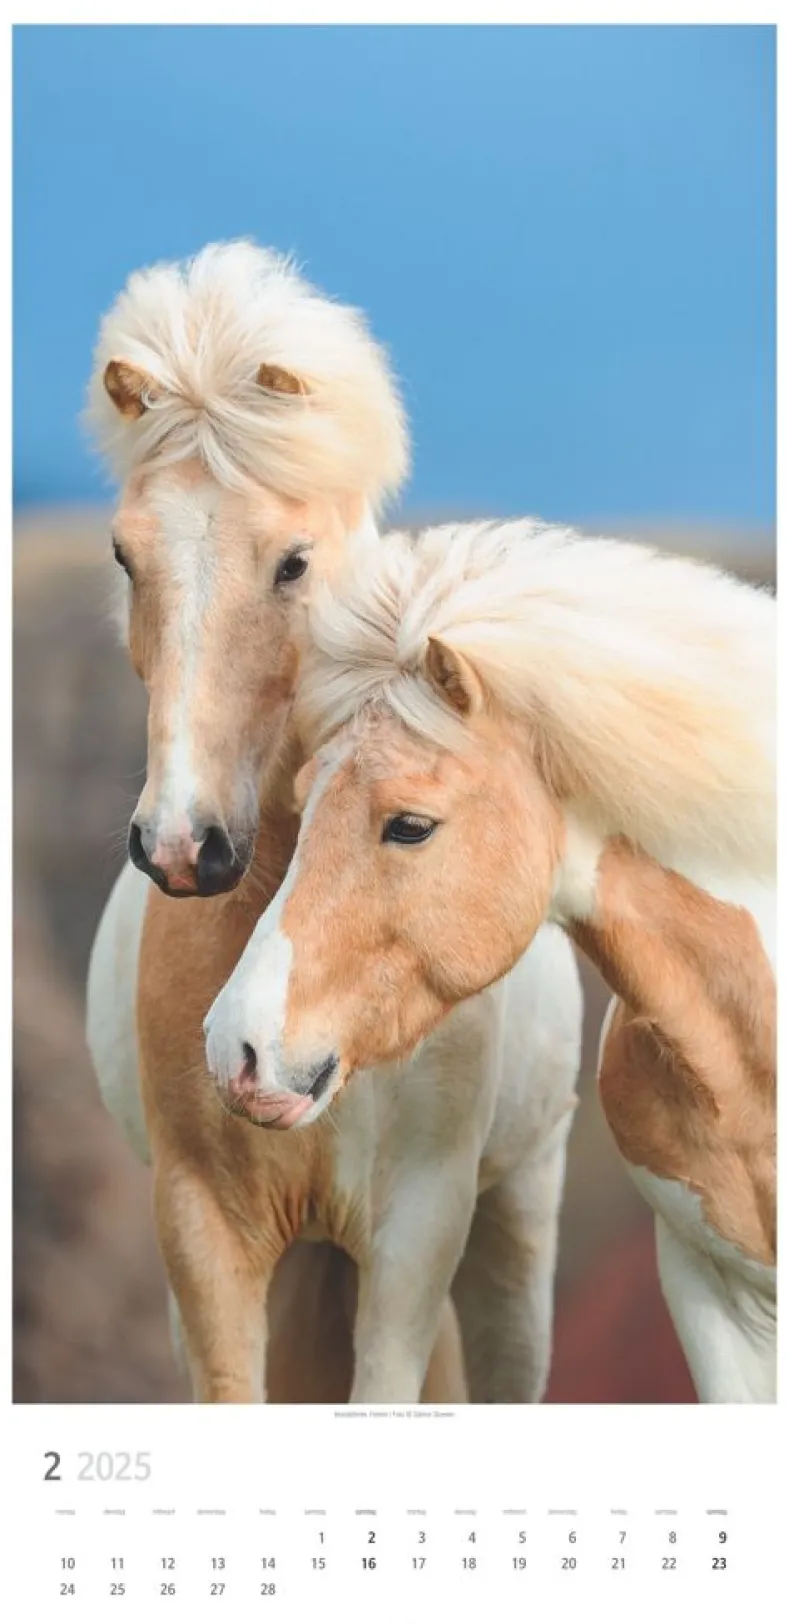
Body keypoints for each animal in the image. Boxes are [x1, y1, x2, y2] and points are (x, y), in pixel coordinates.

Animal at [85, 244, 583, 1403]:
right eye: (128, 557)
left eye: (293, 562)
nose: (183, 845)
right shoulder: (204, 1237)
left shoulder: (414, 1235)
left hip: (511, 1228)